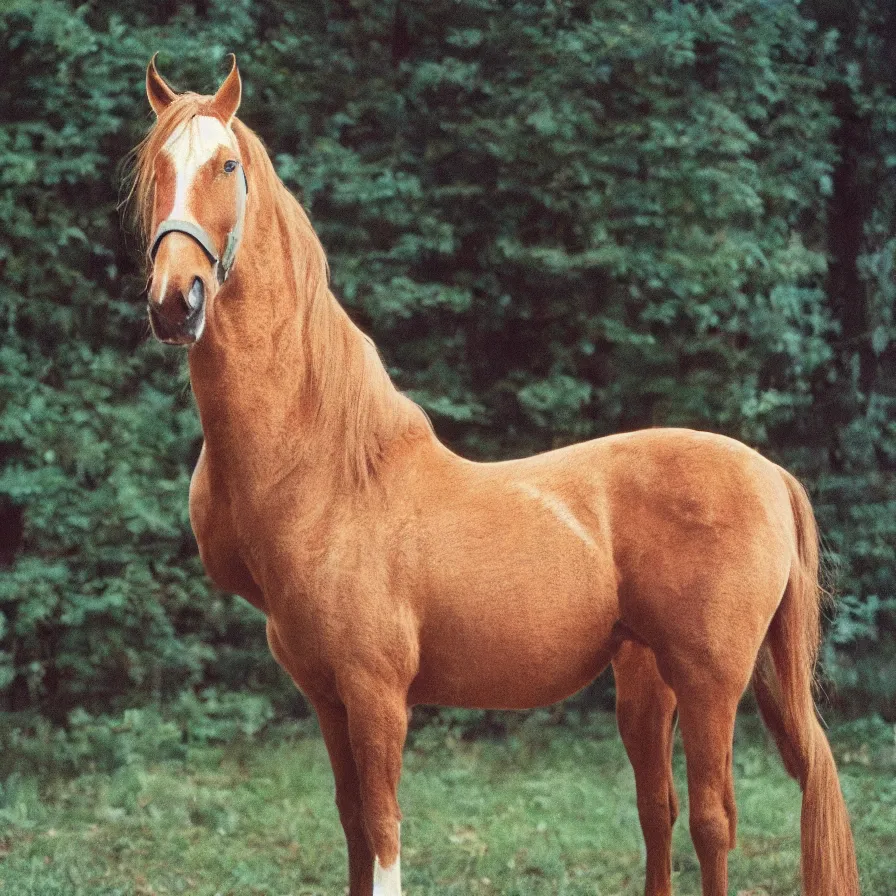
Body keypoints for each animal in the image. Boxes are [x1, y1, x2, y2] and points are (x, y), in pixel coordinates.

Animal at [131, 57, 856, 896]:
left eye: (226, 166)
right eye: (157, 169)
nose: (174, 301)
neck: (330, 478)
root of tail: (770, 473)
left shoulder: (378, 696)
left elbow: (383, 832)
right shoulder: (328, 698)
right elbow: (352, 830)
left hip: (712, 683)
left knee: (712, 819)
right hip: (647, 683)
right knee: (660, 812)